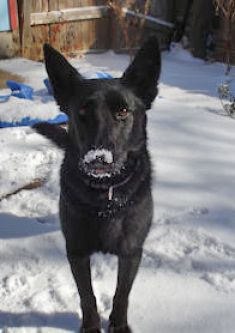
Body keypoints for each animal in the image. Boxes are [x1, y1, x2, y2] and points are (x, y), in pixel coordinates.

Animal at [33, 37, 161, 332]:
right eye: (81, 112)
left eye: (123, 111)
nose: (98, 158)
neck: (106, 196)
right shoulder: (77, 251)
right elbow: (87, 295)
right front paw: (92, 326)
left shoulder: (131, 252)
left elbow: (122, 294)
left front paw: (119, 325)